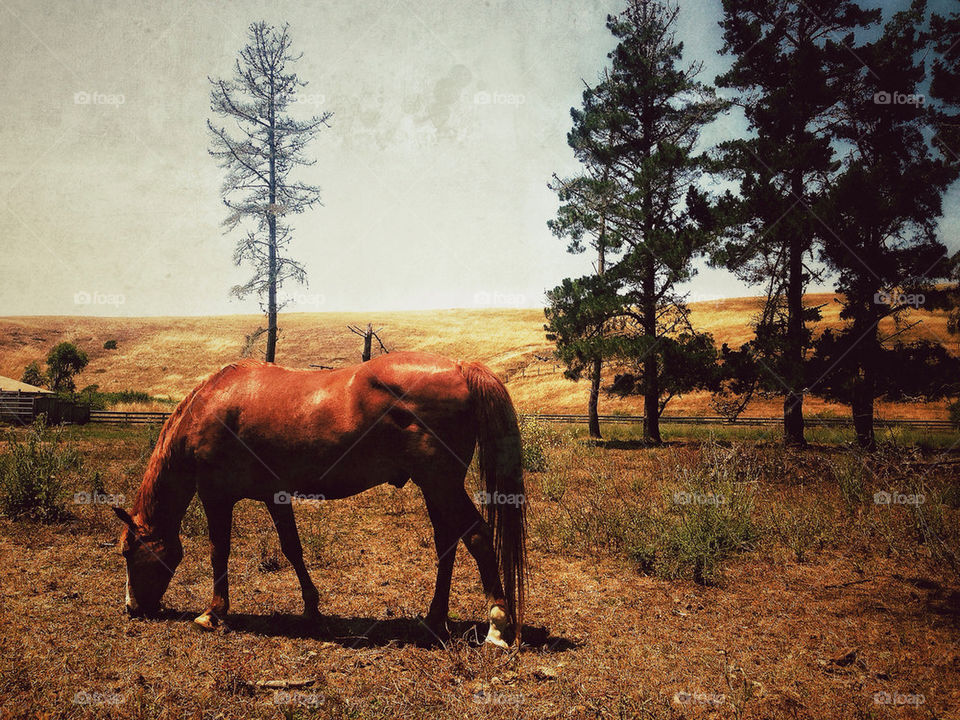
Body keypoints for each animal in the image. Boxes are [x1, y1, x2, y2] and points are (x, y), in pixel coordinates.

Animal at [117, 352, 532, 648]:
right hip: (435, 487)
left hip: (441, 483)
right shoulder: (275, 496)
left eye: (127, 552)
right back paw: (434, 620)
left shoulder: (216, 496)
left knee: (477, 537)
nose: (132, 608)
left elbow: (220, 551)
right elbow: (292, 549)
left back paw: (497, 627)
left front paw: (212, 613)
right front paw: (312, 608)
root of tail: (460, 367)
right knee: (447, 542)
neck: (211, 405)